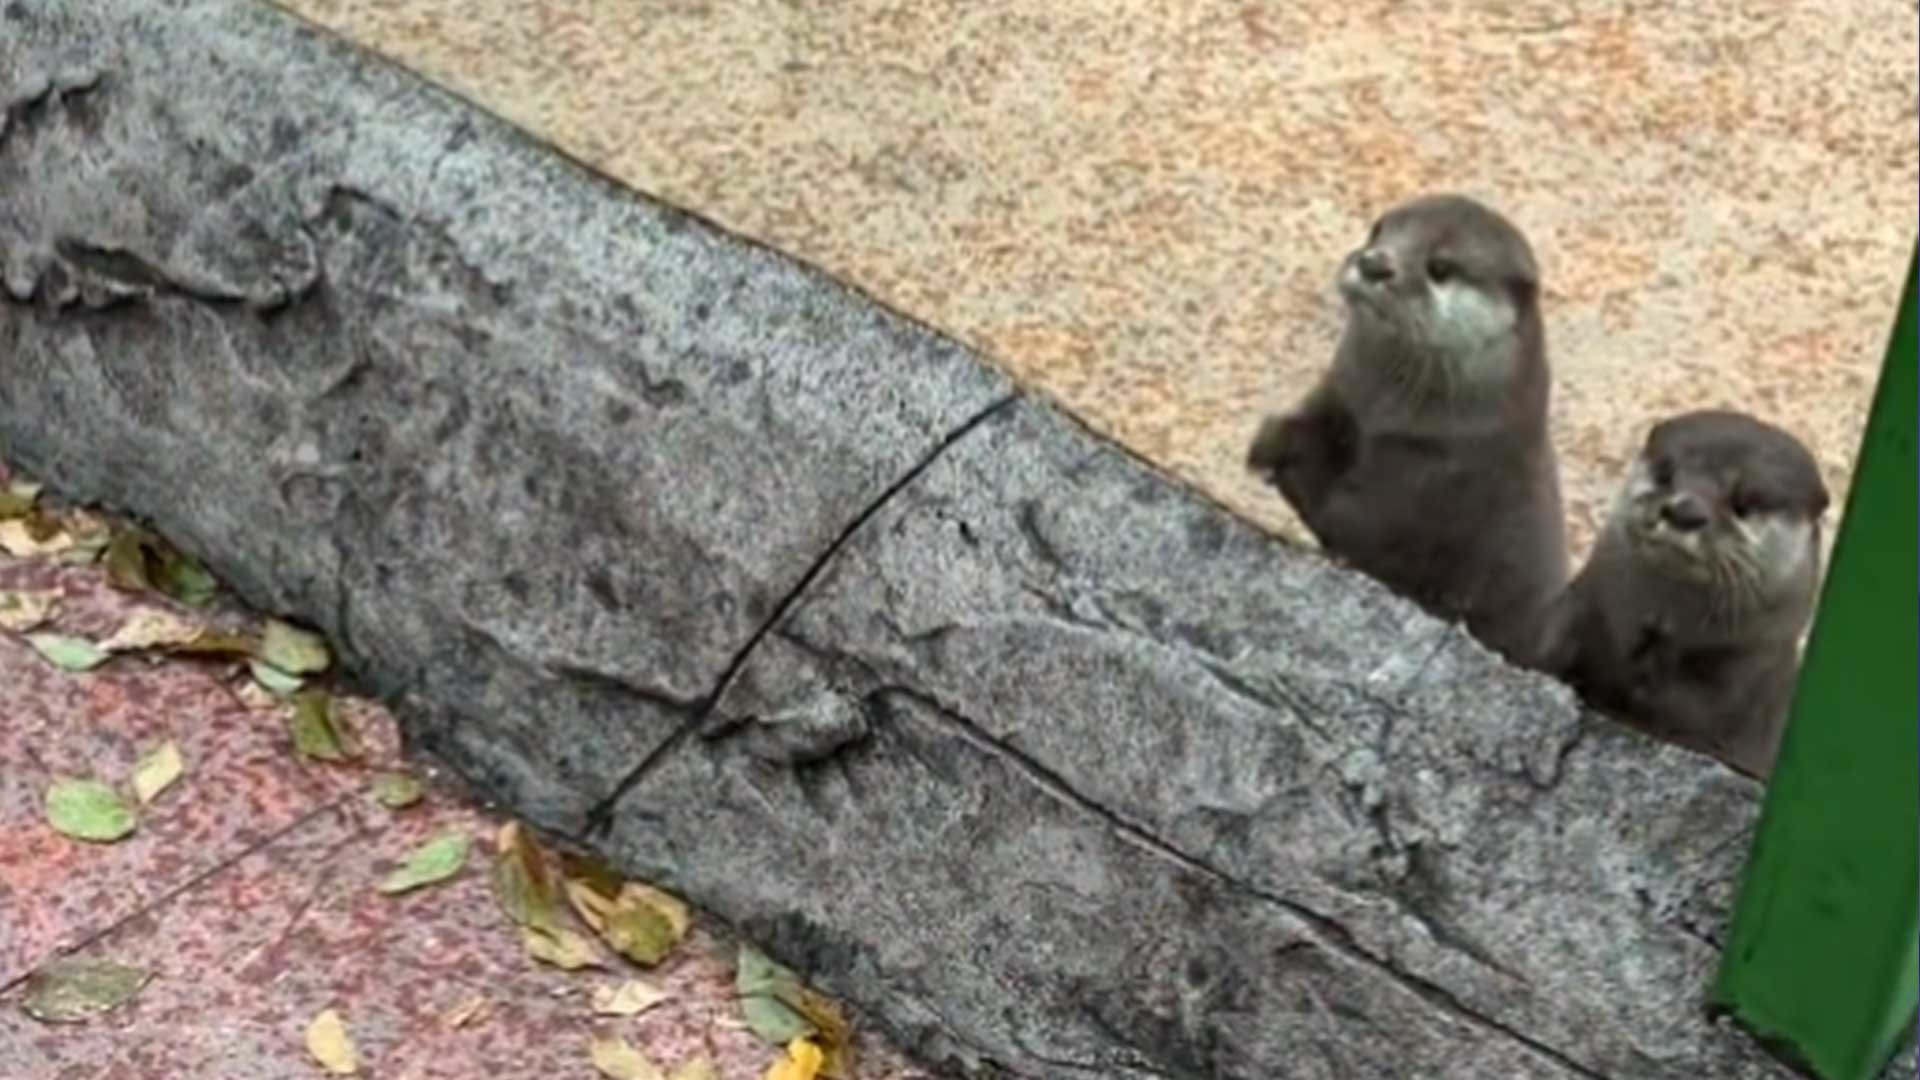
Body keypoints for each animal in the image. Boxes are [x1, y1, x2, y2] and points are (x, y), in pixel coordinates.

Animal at [1244, 196, 1574, 661]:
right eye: (1378, 230)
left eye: (1440, 266)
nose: (1374, 263)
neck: (1383, 415)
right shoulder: (1340, 395)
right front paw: (1272, 441)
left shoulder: (1431, 474)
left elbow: (1347, 522)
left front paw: (1294, 475)